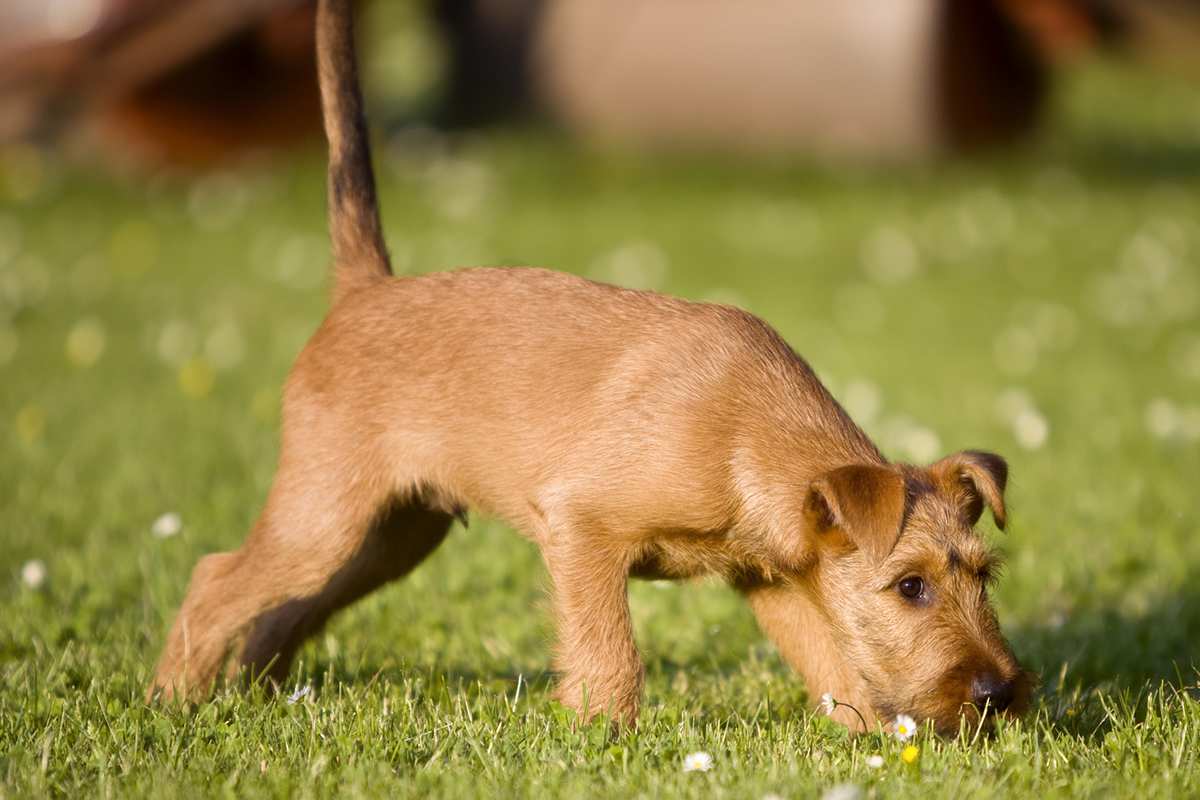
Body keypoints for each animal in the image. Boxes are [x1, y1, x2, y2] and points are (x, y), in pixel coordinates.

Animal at [150, 0, 1032, 738]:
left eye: (984, 577)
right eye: (910, 586)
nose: (1000, 694)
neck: (749, 434)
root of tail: (366, 287)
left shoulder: (779, 582)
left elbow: (833, 665)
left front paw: (874, 745)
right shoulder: (581, 527)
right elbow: (610, 653)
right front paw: (601, 739)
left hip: (388, 536)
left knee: (282, 607)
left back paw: (252, 696)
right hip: (327, 515)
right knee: (216, 578)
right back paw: (172, 699)